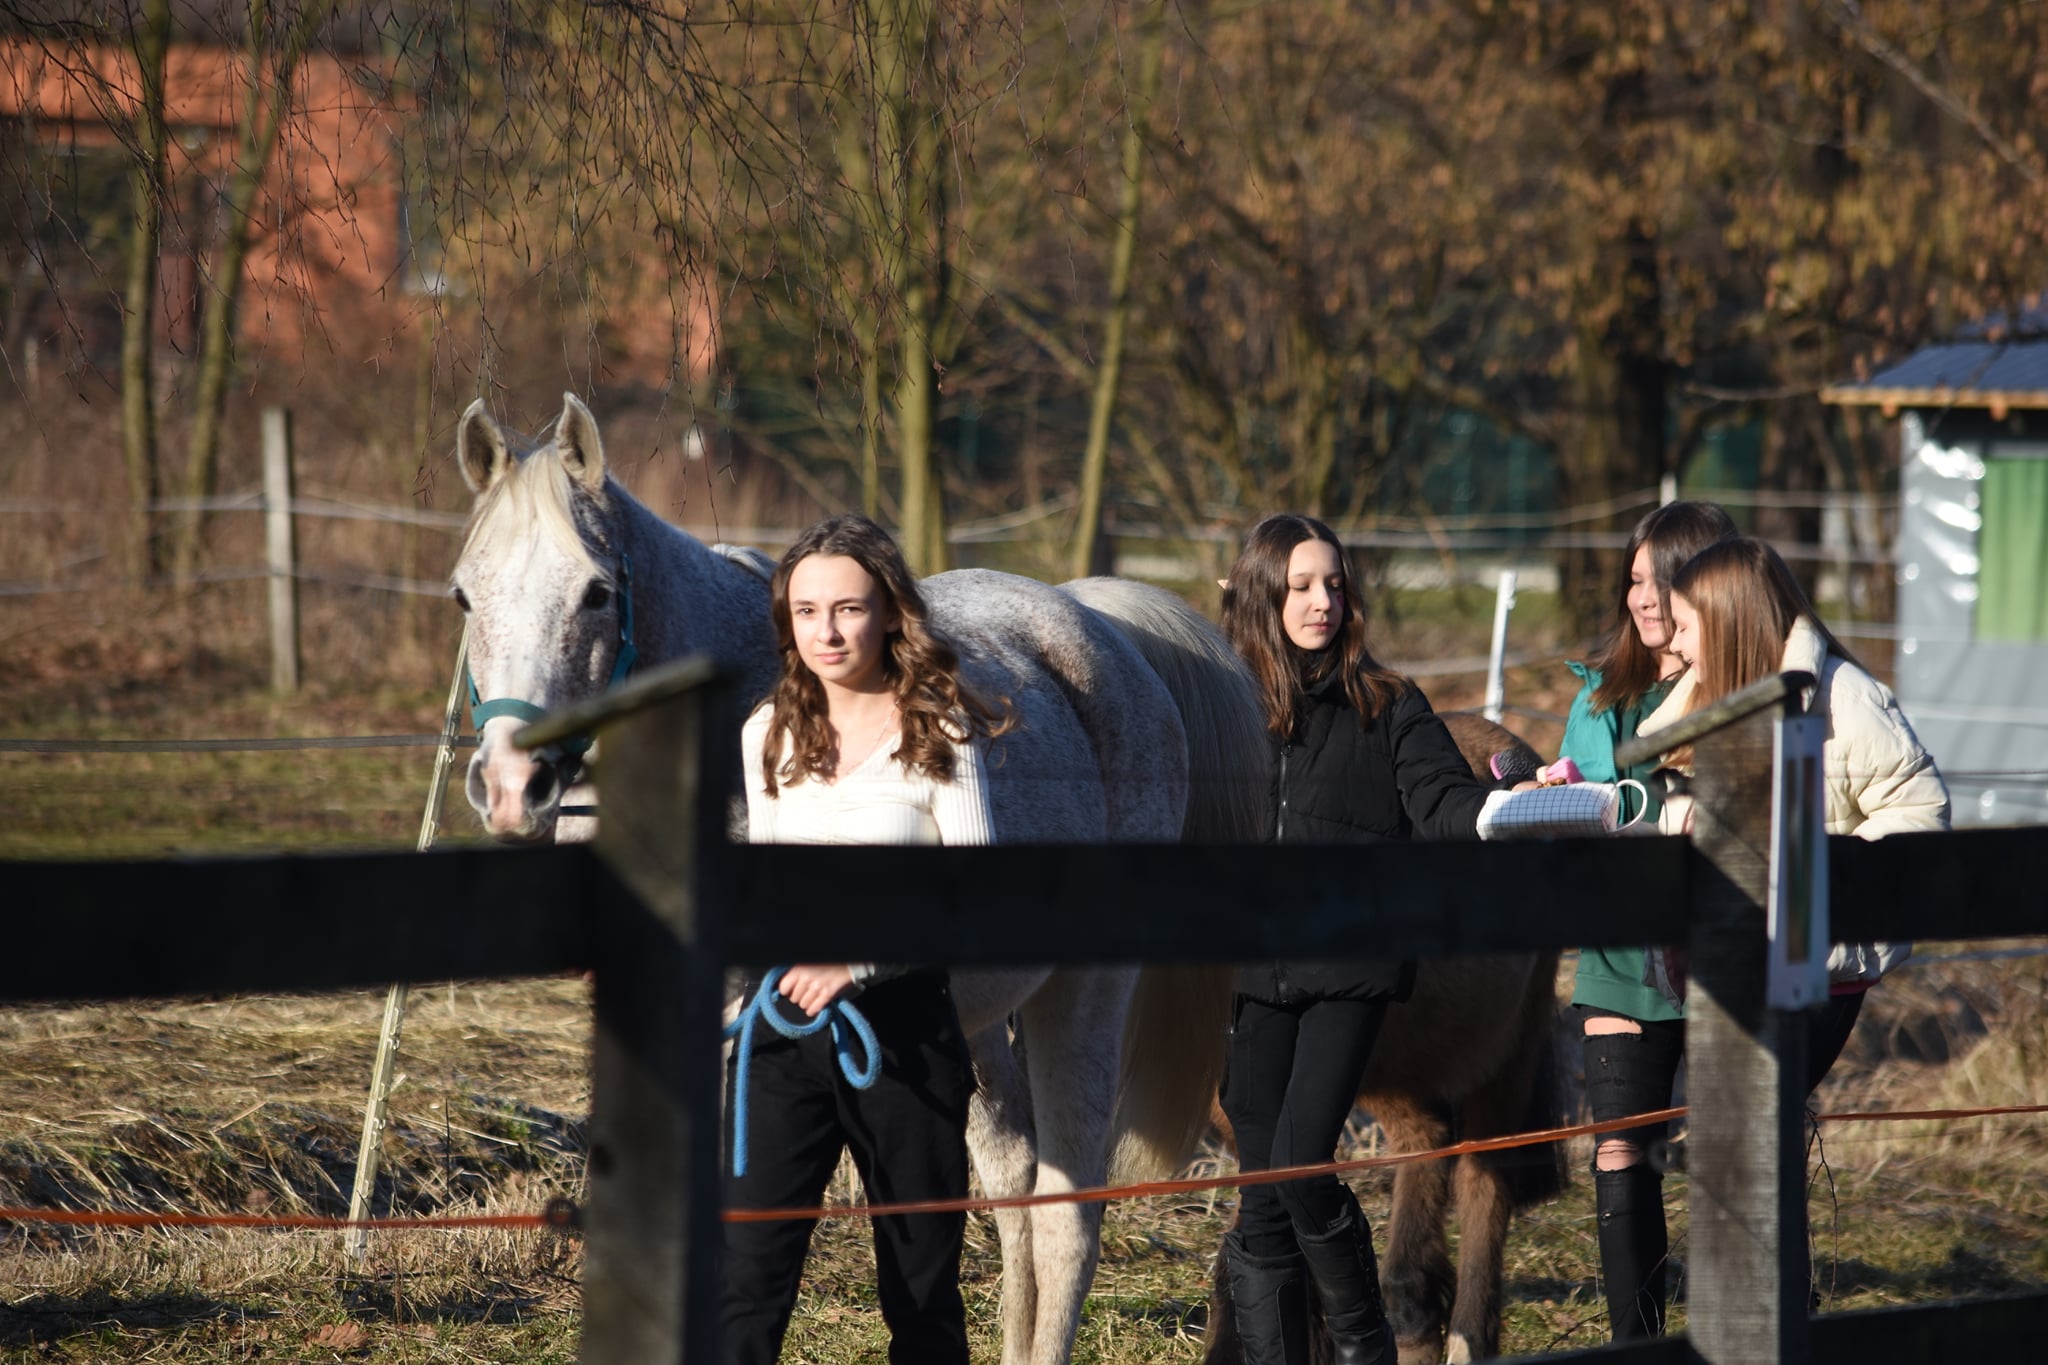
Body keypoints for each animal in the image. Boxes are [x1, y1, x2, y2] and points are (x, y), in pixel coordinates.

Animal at [449, 392, 1266, 1365]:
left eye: (596, 591)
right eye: (464, 594)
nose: (511, 784)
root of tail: (1094, 618)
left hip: (1086, 991)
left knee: (1066, 1216)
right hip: (977, 1019)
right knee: (1013, 1191)